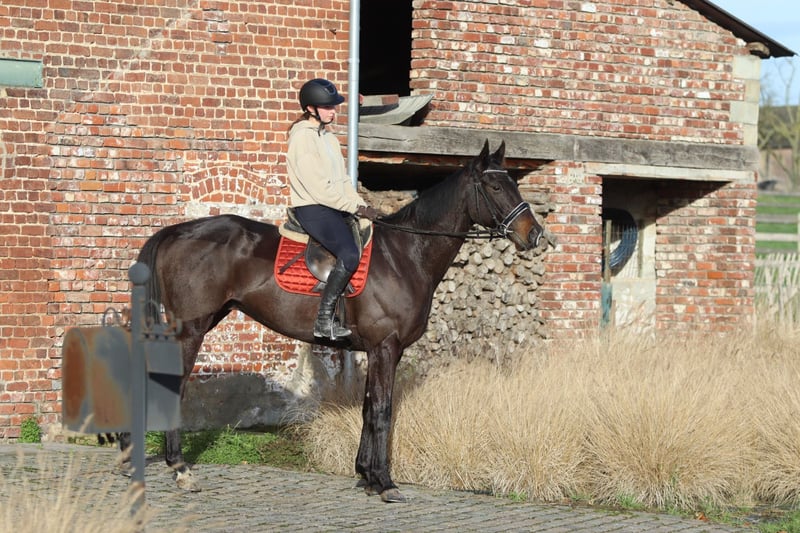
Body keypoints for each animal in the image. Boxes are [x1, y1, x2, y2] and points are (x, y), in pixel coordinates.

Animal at [117, 139, 545, 503]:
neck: (406, 254)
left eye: (513, 183)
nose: (535, 234)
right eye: (494, 187)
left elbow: (370, 406)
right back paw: (179, 468)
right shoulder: (385, 347)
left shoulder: (377, 350)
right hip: (190, 329)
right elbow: (383, 409)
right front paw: (384, 482)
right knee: (170, 385)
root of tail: (176, 232)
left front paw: (366, 475)